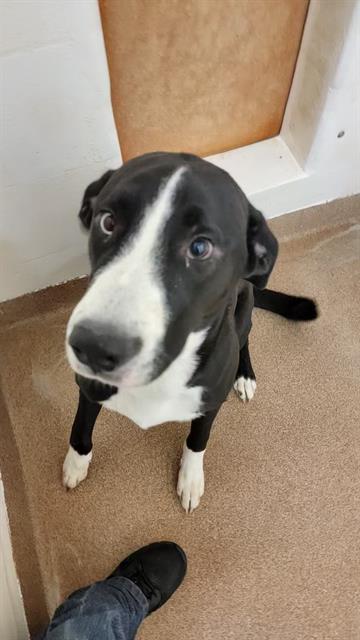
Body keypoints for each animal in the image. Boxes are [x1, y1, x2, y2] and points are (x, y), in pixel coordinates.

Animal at [63, 149, 316, 510]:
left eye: (200, 248)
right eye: (108, 222)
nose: (95, 347)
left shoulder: (209, 401)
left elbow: (198, 439)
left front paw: (191, 478)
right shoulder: (88, 387)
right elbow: (81, 425)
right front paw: (75, 463)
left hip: (244, 309)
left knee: (245, 339)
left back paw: (245, 374)